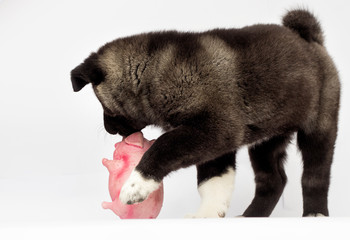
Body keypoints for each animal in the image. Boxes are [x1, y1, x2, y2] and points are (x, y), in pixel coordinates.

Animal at [70, 9, 340, 218]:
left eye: (103, 105)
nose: (109, 130)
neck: (155, 73)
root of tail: (310, 39)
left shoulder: (214, 130)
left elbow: (162, 147)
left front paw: (136, 186)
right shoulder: (214, 145)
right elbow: (212, 182)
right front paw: (208, 214)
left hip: (320, 126)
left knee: (315, 175)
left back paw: (315, 214)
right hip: (267, 138)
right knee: (273, 180)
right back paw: (252, 216)